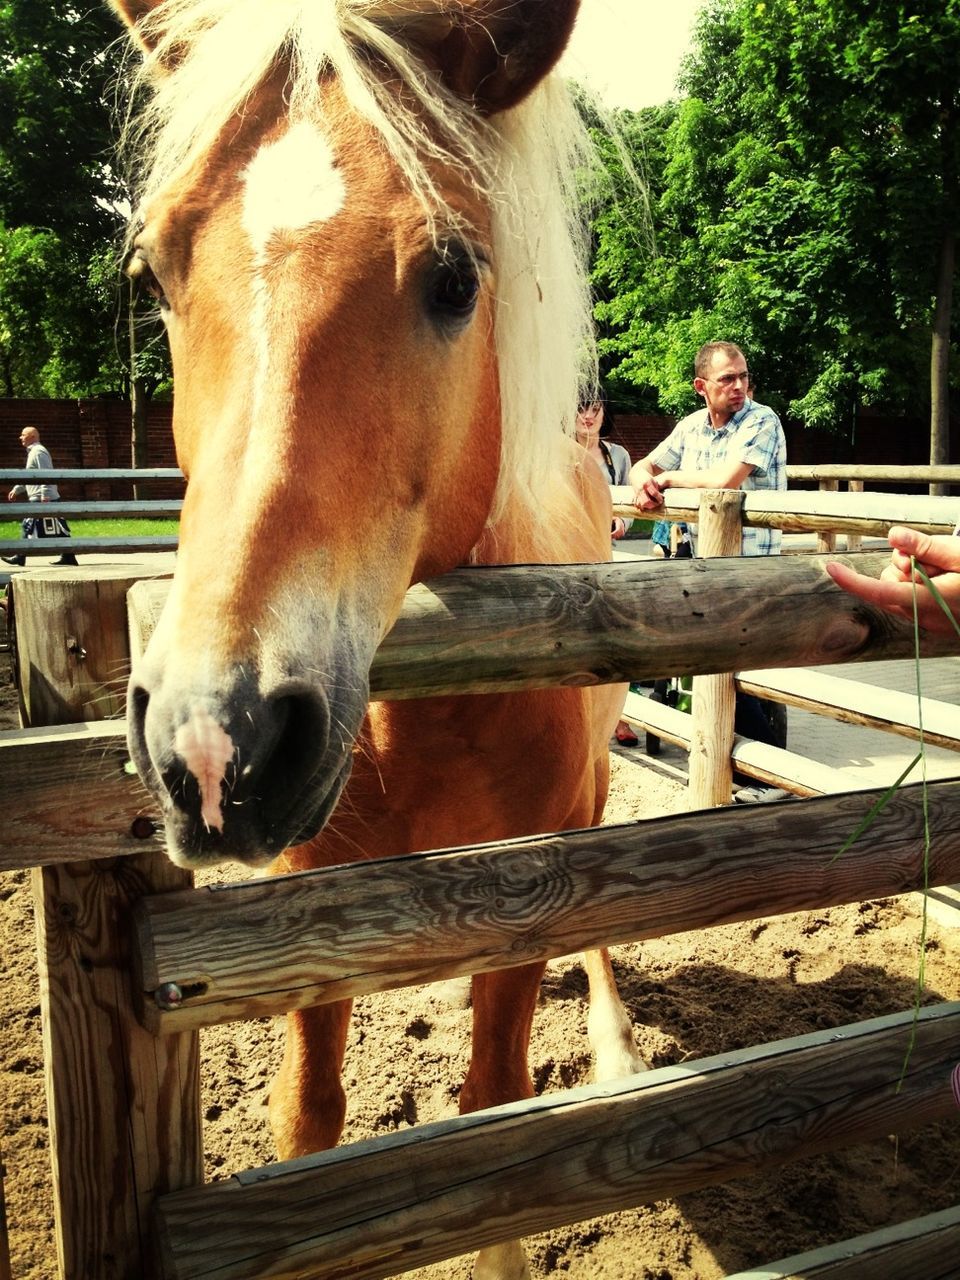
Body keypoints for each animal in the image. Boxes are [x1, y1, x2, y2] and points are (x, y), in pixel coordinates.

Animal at [106, 5, 647, 1274]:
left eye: (453, 278)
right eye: (153, 269)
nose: (218, 741)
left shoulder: (527, 890)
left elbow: (496, 1120)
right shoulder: (314, 907)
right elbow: (312, 1119)